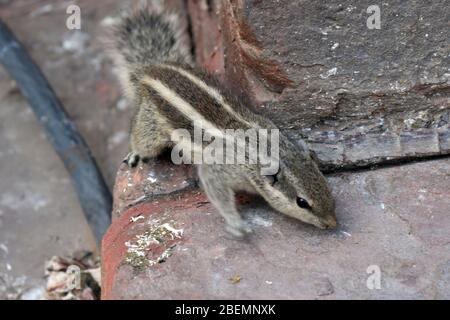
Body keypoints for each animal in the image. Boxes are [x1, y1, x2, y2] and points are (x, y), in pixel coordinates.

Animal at [109, 2, 336, 236]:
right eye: (302, 202)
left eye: (326, 186)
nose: (332, 223)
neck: (266, 149)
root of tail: (150, 69)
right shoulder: (224, 167)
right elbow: (214, 185)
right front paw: (237, 224)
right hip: (150, 128)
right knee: (141, 140)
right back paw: (135, 154)